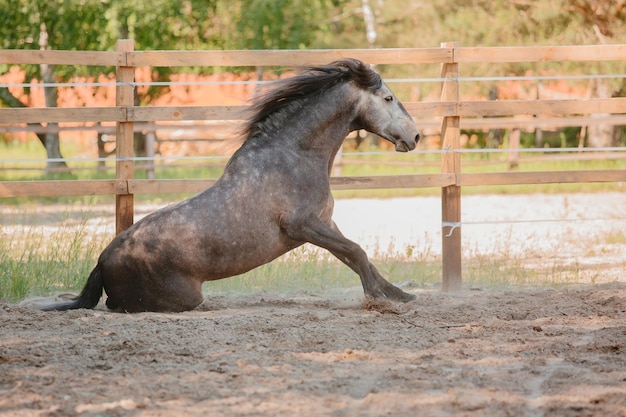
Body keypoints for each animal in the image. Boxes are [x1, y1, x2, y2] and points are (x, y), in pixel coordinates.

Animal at [37, 59, 420, 312]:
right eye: (387, 98)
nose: (415, 136)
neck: (294, 155)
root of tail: (103, 260)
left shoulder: (325, 223)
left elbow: (357, 255)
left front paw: (400, 294)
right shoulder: (304, 226)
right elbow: (356, 252)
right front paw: (379, 300)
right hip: (184, 296)